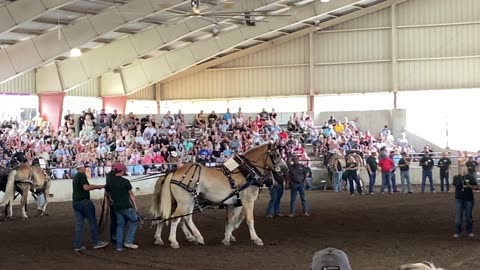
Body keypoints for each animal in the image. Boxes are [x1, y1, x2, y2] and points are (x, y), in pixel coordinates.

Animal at [149, 143, 288, 249]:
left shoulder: (235, 203)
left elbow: (231, 221)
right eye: (275, 155)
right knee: (175, 218)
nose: (285, 169)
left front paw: (227, 238)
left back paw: (196, 237)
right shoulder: (247, 200)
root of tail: (174, 171)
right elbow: (249, 219)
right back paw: (173, 241)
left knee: (182, 218)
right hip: (183, 201)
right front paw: (256, 239)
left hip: (187, 201)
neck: (246, 172)